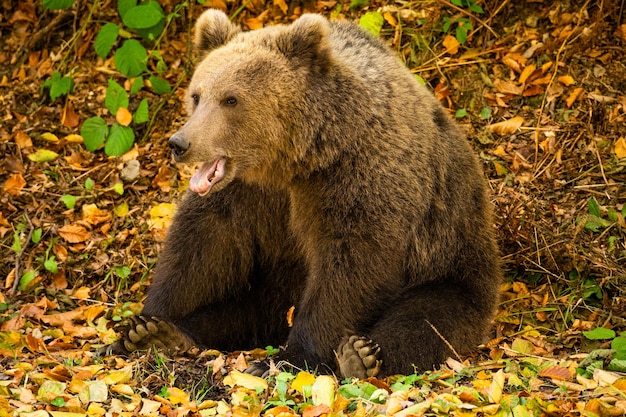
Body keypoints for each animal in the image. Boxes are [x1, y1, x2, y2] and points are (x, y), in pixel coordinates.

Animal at [109, 8, 500, 378]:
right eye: (196, 95)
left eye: (231, 99)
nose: (180, 143)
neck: (294, 161)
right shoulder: (246, 193)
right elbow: (199, 247)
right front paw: (142, 326)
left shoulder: (360, 179)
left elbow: (351, 267)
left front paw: (288, 358)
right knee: (239, 310)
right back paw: (173, 334)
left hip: (451, 256)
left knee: (426, 319)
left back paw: (362, 355)